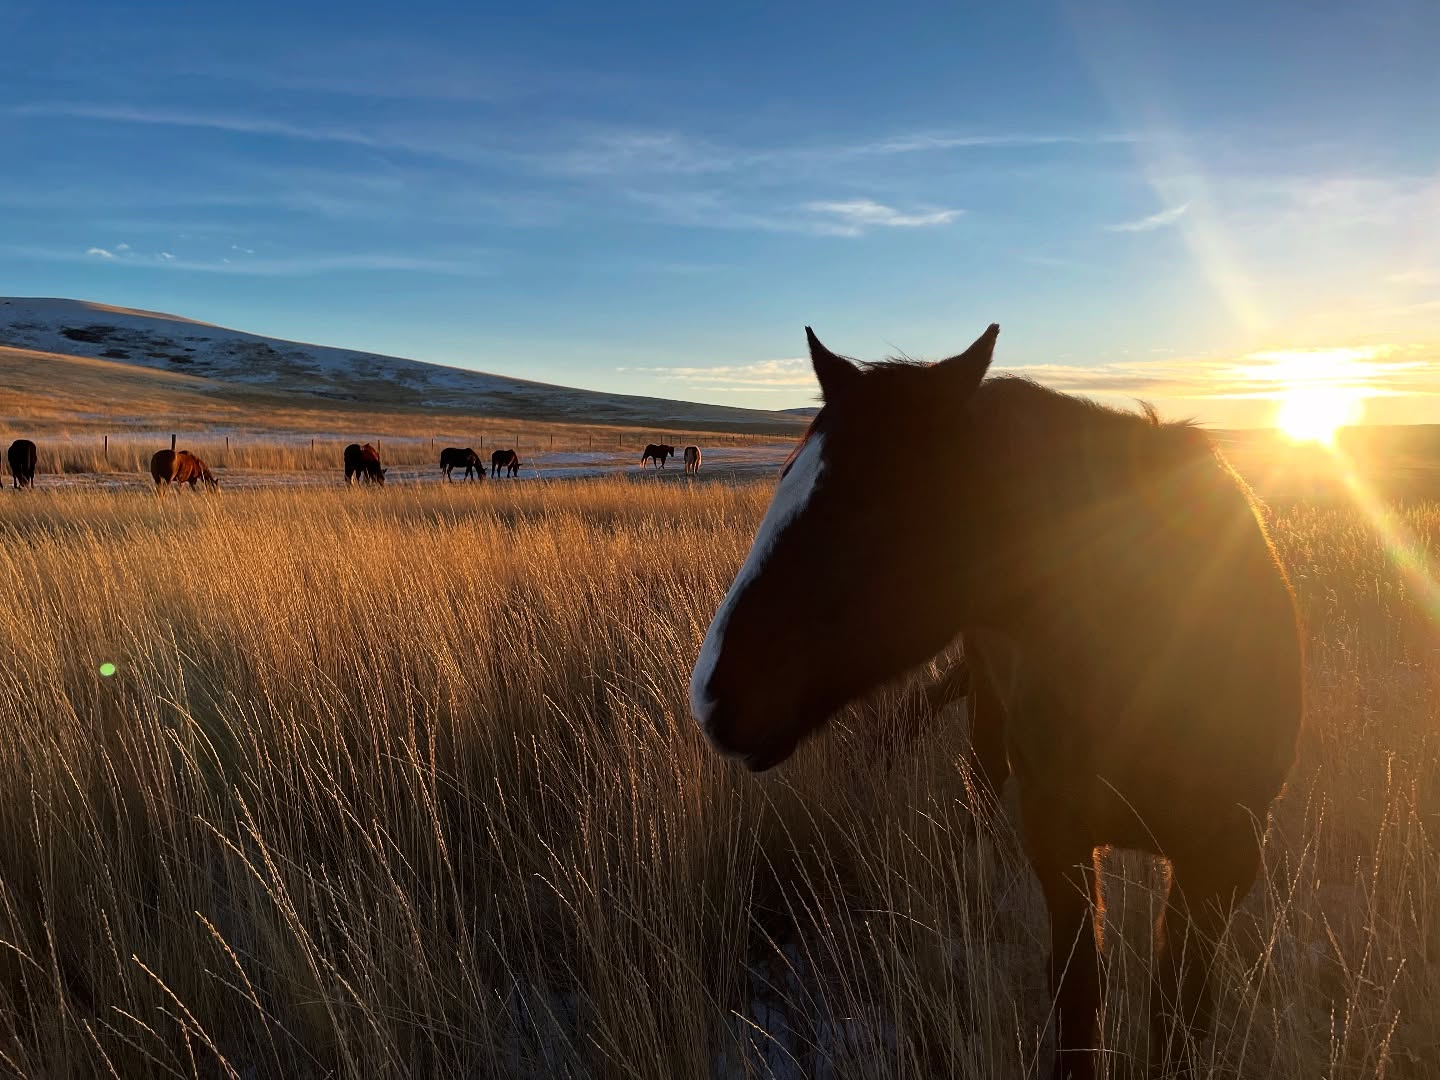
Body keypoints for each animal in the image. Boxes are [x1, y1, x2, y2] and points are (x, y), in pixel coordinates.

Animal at [688, 324, 1307, 1080]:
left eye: (867, 503)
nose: (712, 698)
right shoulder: (1058, 840)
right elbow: (1078, 996)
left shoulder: (1222, 866)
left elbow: (1179, 1021)